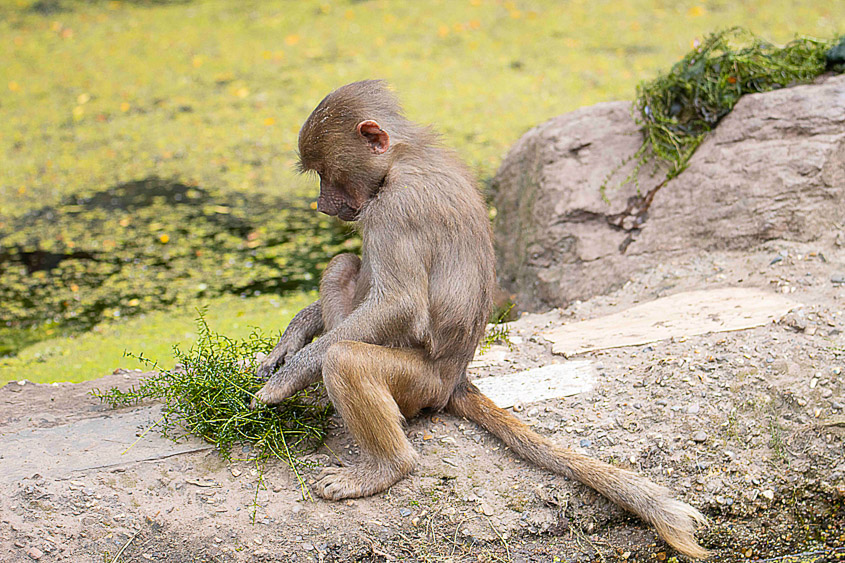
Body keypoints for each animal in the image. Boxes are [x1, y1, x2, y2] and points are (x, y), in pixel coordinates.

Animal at [252, 80, 708, 559]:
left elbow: (398, 304)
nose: (322, 205)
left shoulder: (397, 209)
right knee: (342, 266)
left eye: (325, 172)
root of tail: (456, 379)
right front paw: (290, 342)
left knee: (346, 357)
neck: (401, 159)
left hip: (419, 385)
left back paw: (383, 468)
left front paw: (288, 378)